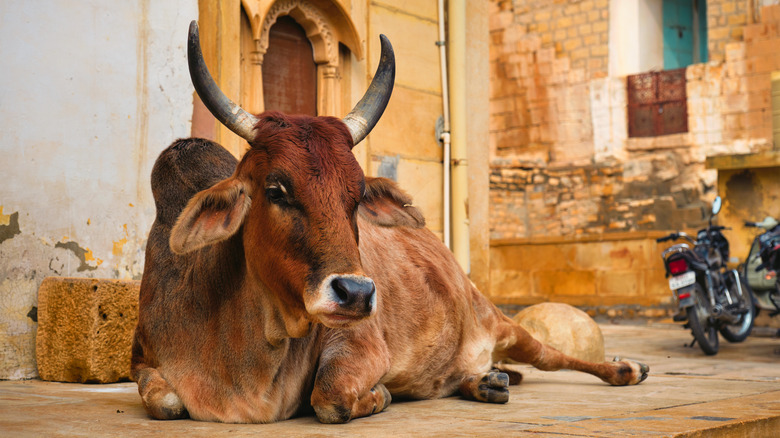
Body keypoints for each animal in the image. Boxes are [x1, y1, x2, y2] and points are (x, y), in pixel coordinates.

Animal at [131, 20, 648, 424]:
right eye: (275, 190)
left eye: (357, 196)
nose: (356, 293)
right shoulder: (144, 359)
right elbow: (167, 402)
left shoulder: (358, 340)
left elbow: (331, 397)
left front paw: (379, 394)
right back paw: (488, 382)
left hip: (502, 323)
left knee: (554, 356)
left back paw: (623, 370)